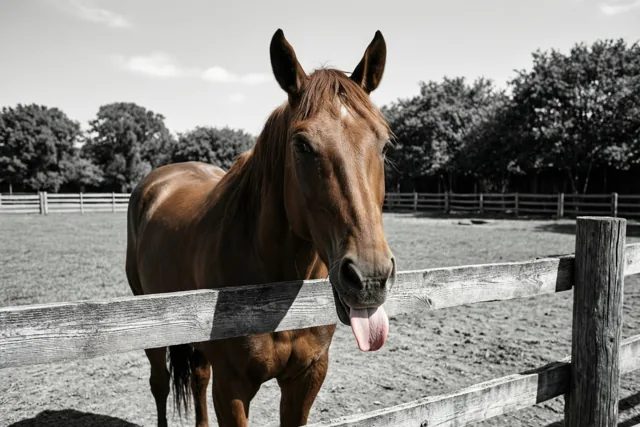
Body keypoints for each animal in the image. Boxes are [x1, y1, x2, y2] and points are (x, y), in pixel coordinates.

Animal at [125, 28, 397, 427]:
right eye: (302, 145)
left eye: (383, 143)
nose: (370, 278)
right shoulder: (232, 388)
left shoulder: (307, 378)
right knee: (159, 384)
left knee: (197, 377)